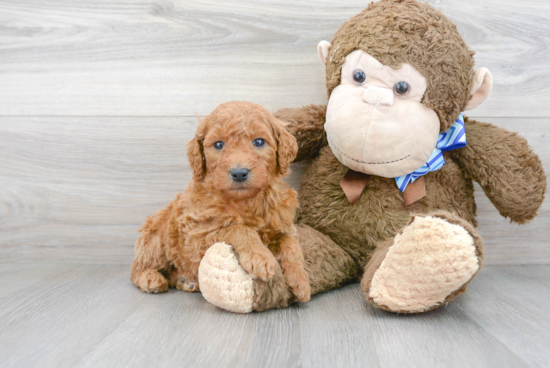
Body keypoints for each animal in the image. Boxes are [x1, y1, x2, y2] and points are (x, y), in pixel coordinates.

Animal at [129, 100, 310, 302]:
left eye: (259, 142)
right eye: (218, 144)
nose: (239, 173)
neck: (246, 201)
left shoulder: (284, 226)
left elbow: (291, 245)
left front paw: (301, 279)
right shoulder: (198, 237)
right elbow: (239, 229)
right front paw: (260, 257)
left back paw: (186, 281)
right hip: (156, 238)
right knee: (137, 269)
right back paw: (150, 278)